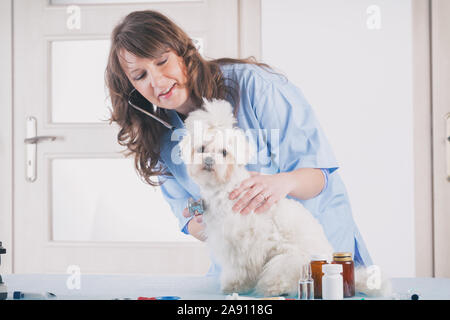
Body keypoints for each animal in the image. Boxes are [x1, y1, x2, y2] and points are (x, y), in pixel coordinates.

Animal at [179, 99, 334, 296]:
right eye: (201, 149)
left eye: (224, 152)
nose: (208, 160)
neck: (222, 189)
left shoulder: (240, 243)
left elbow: (238, 268)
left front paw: (234, 285)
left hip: (288, 260)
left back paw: (274, 288)